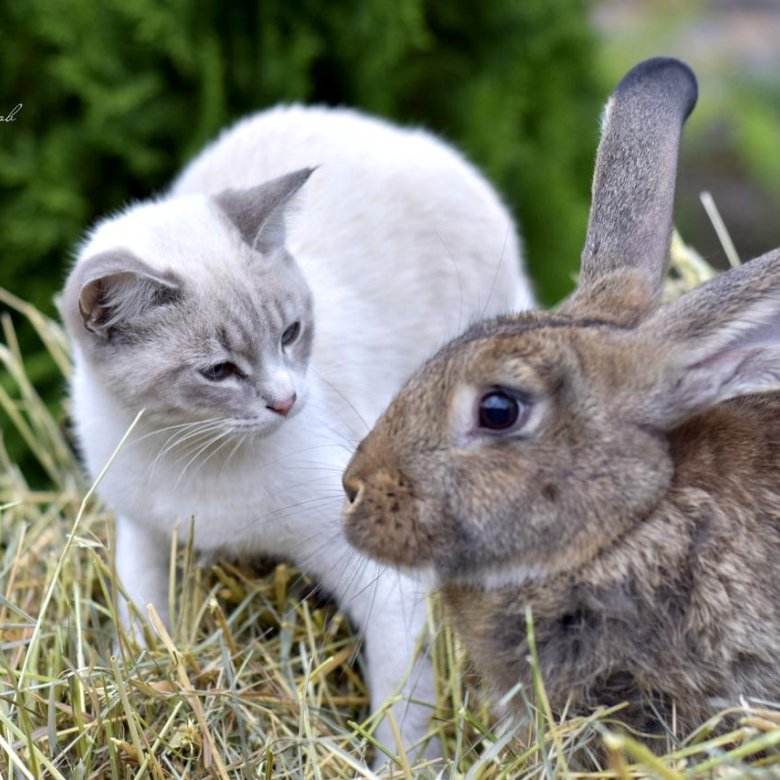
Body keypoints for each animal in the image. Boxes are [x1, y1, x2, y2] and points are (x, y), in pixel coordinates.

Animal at [62, 103, 536, 760]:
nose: (286, 401)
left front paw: (403, 766)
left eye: (290, 334)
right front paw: (142, 681)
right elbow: (144, 624)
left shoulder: (383, 577)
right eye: (219, 371)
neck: (188, 449)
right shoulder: (144, 531)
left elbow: (402, 714)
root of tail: (404, 136)